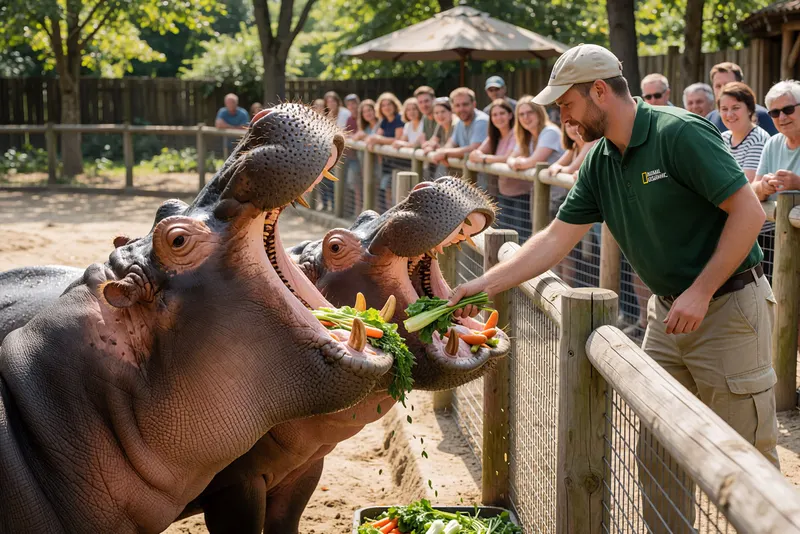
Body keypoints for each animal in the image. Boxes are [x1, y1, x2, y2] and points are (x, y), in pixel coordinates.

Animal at [179, 176, 510, 533]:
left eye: (368, 214)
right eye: (335, 246)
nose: (429, 183)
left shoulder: (304, 470)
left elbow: (287, 522)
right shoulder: (236, 486)